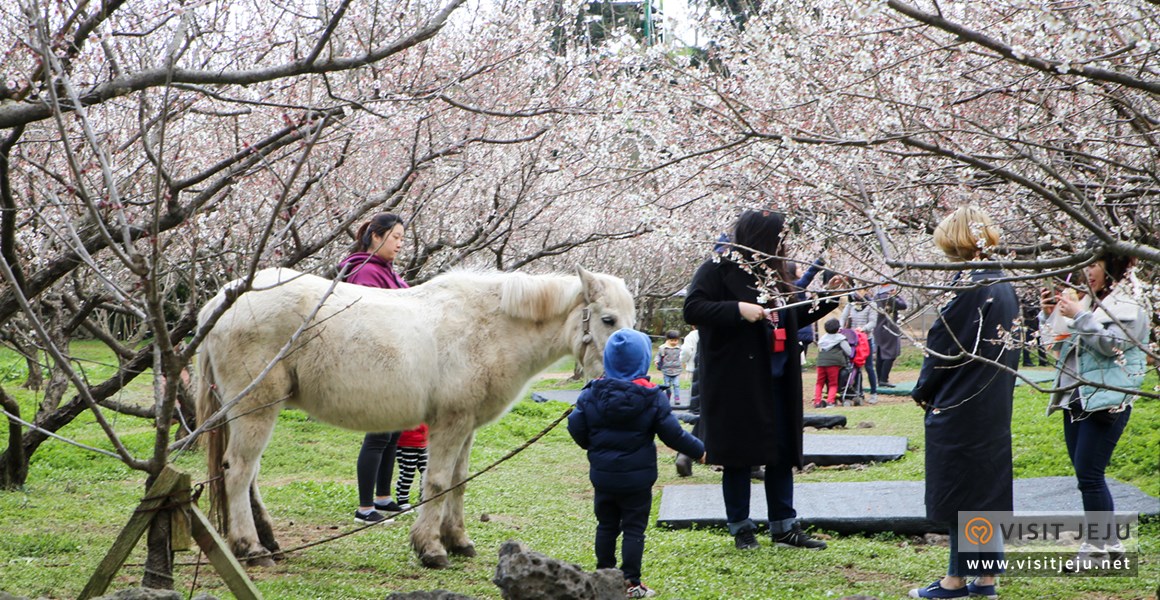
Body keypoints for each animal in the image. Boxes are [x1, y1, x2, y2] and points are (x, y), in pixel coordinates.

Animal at [197, 265, 635, 566]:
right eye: (607, 320)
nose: (626, 376)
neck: (488, 326)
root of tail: (222, 302)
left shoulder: (466, 427)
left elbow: (458, 482)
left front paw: (457, 541)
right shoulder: (450, 424)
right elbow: (437, 482)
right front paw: (430, 548)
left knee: (249, 475)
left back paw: (267, 541)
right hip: (255, 410)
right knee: (239, 472)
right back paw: (251, 548)